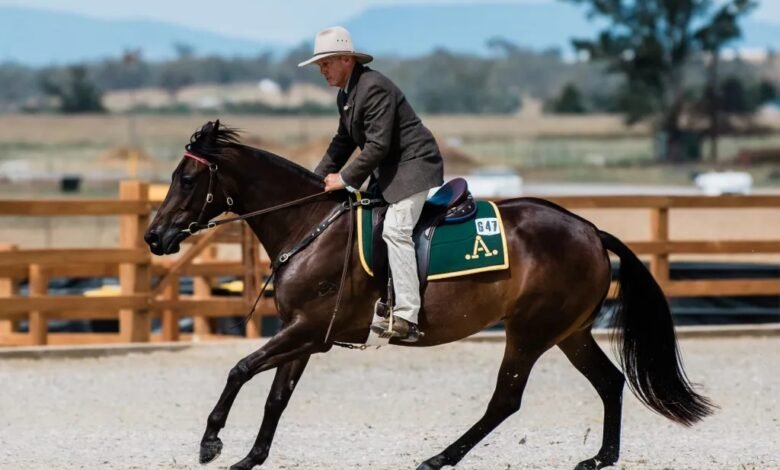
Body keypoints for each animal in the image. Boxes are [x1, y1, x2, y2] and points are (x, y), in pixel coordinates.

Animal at [145, 121, 712, 470]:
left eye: (188, 177)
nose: (154, 237)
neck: (309, 225)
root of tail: (591, 230)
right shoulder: (301, 334)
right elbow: (276, 396)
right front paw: (250, 457)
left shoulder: (309, 331)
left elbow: (240, 369)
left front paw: (211, 442)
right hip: (568, 332)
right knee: (610, 382)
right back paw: (599, 458)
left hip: (529, 332)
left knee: (505, 400)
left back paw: (439, 458)